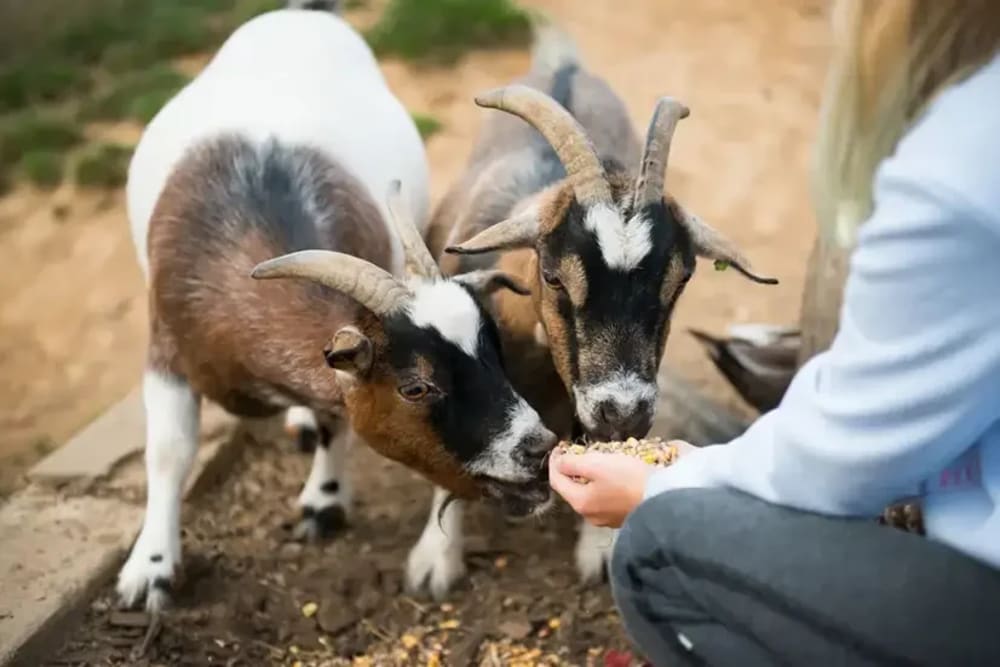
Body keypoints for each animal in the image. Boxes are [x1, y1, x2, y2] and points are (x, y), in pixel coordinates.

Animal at [119, 4, 555, 613]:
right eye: (415, 386)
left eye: (495, 353)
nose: (538, 448)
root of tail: (304, 14)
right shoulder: (165, 346)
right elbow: (167, 451)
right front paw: (150, 570)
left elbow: (333, 420)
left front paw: (323, 502)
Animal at [409, 24, 778, 597]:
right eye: (553, 276)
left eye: (681, 279)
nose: (623, 411)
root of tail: (566, 62)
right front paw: (435, 559)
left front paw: (599, 550)